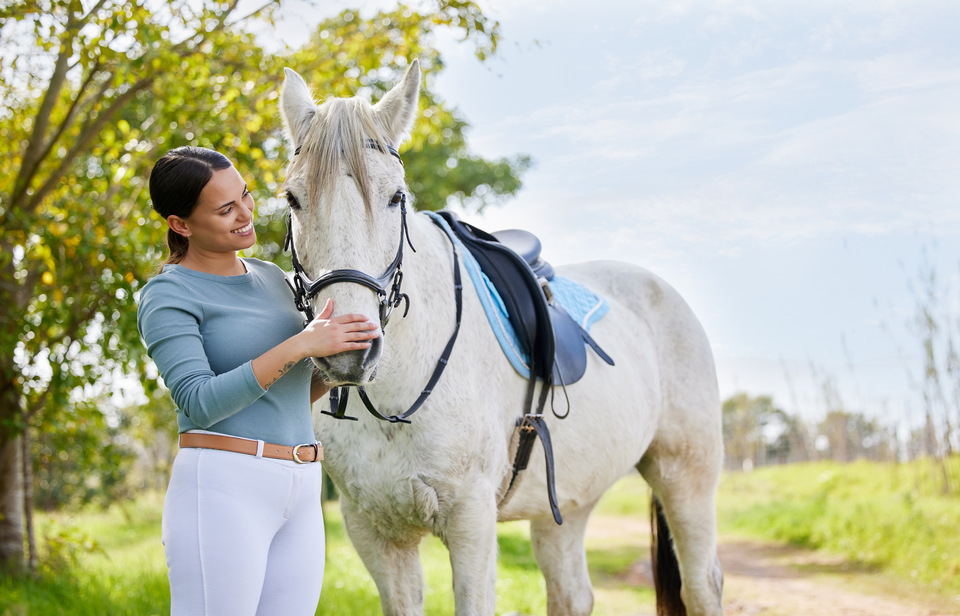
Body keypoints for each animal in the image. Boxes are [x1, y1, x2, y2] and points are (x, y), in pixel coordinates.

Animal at [276, 59, 720, 616]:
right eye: (293, 198)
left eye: (396, 197)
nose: (347, 350)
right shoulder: (374, 532)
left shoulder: (471, 520)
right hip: (568, 502)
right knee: (572, 592)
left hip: (685, 477)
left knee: (702, 585)